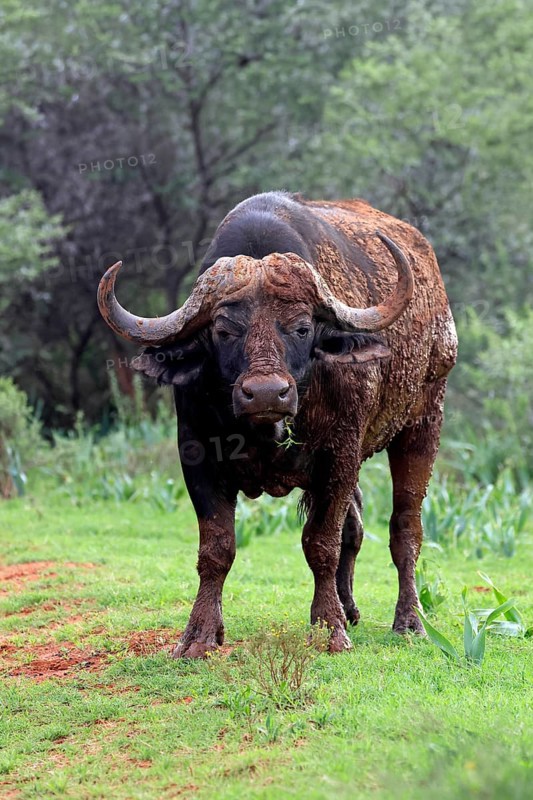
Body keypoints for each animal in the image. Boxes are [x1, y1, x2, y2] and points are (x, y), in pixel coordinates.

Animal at [98, 191, 457, 657]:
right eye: (223, 330)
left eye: (302, 328)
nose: (267, 393)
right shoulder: (196, 456)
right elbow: (216, 548)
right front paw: (199, 635)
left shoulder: (339, 456)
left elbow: (320, 542)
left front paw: (329, 630)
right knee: (356, 526)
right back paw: (350, 608)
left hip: (423, 422)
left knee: (405, 529)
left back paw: (409, 621)